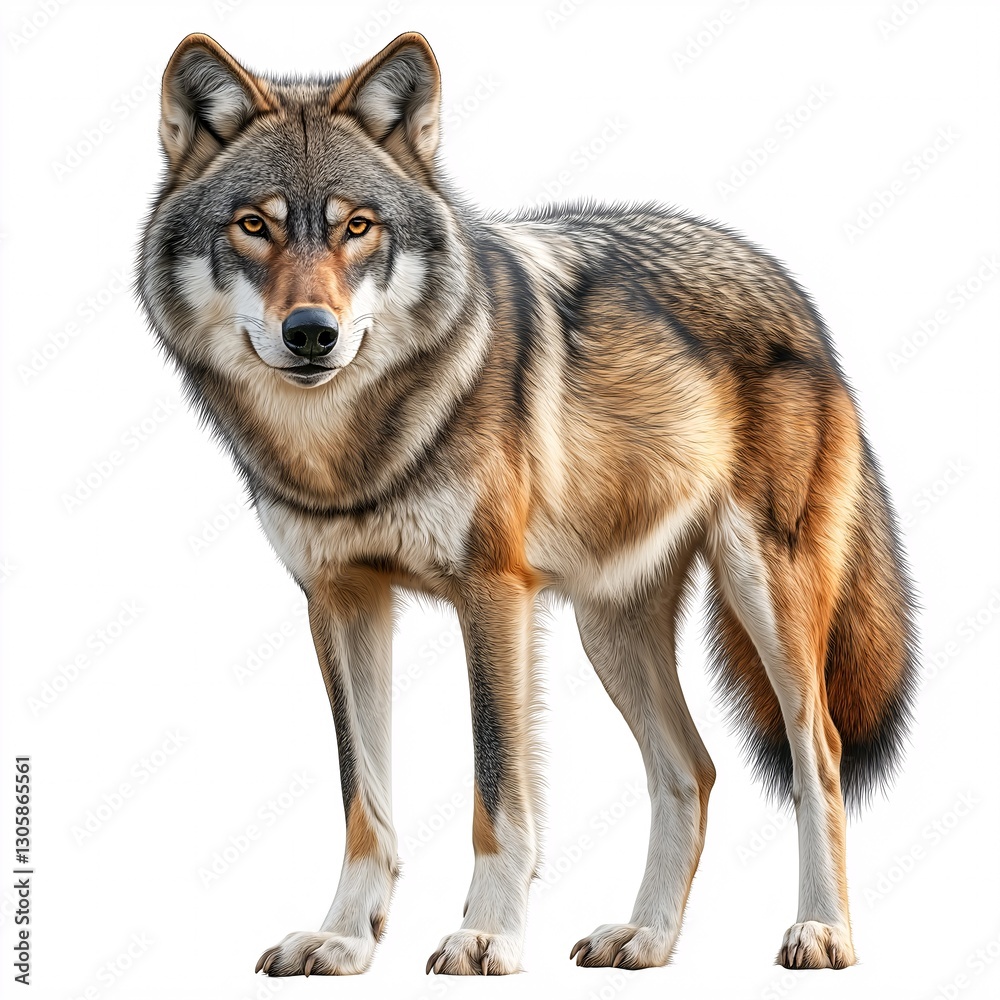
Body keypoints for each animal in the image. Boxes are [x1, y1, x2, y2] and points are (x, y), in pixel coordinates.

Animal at [137, 31, 918, 976]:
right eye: (255, 225)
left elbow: (497, 793)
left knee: (820, 753)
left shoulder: (494, 594)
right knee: (690, 770)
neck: (348, 451)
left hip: (764, 593)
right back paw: (647, 937)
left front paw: (487, 935)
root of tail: (790, 286)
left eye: (359, 226)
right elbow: (364, 802)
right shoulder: (340, 599)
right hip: (607, 628)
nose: (312, 333)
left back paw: (823, 931)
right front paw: (343, 939)